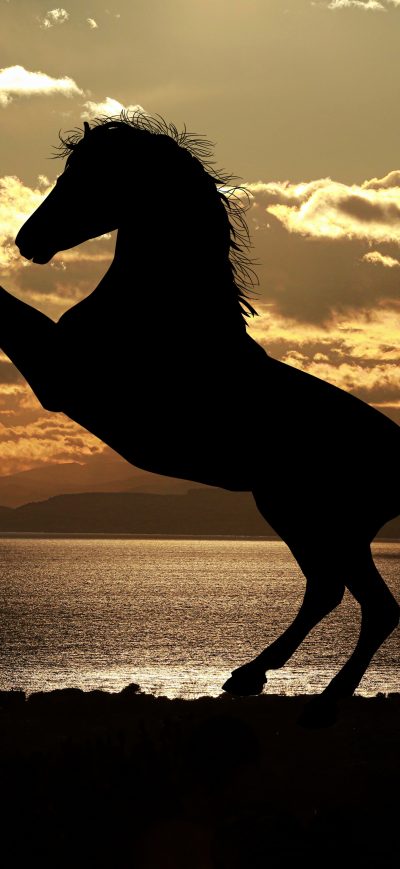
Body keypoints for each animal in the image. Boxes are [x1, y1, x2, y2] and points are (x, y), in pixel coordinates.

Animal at [2, 111, 398, 724]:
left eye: (85, 177)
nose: (27, 242)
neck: (166, 311)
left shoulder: (60, 376)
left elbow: (4, 311)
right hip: (302, 516)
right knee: (329, 592)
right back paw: (249, 675)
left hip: (322, 518)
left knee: (373, 606)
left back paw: (324, 697)